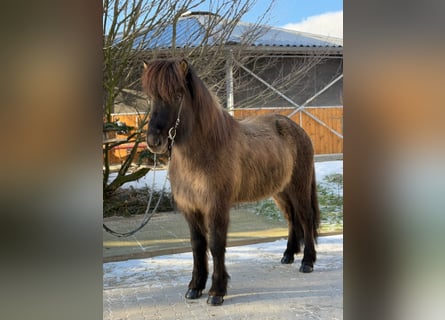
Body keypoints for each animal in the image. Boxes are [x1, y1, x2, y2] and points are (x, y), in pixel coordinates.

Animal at [142, 58, 320, 306]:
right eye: (150, 97)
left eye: (177, 95)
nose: (153, 141)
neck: (205, 150)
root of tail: (297, 129)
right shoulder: (191, 207)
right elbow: (197, 245)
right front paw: (195, 287)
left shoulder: (216, 206)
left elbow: (216, 245)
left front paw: (217, 292)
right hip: (280, 192)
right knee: (291, 218)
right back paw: (288, 255)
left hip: (299, 187)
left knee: (305, 217)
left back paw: (307, 262)